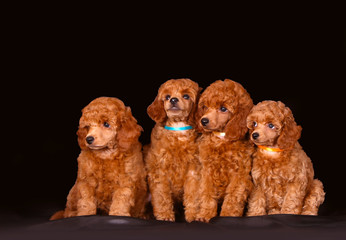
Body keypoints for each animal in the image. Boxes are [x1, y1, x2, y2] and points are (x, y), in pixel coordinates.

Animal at [145, 78, 201, 221]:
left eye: (186, 96)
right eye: (167, 96)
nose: (173, 100)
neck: (178, 127)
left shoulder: (194, 170)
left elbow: (193, 194)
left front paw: (193, 215)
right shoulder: (159, 169)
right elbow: (161, 196)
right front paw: (165, 215)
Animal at [195, 79, 254, 222]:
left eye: (223, 109)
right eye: (205, 106)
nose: (203, 121)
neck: (221, 139)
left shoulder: (239, 175)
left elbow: (233, 197)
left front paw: (228, 216)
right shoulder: (207, 172)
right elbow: (207, 194)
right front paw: (205, 214)